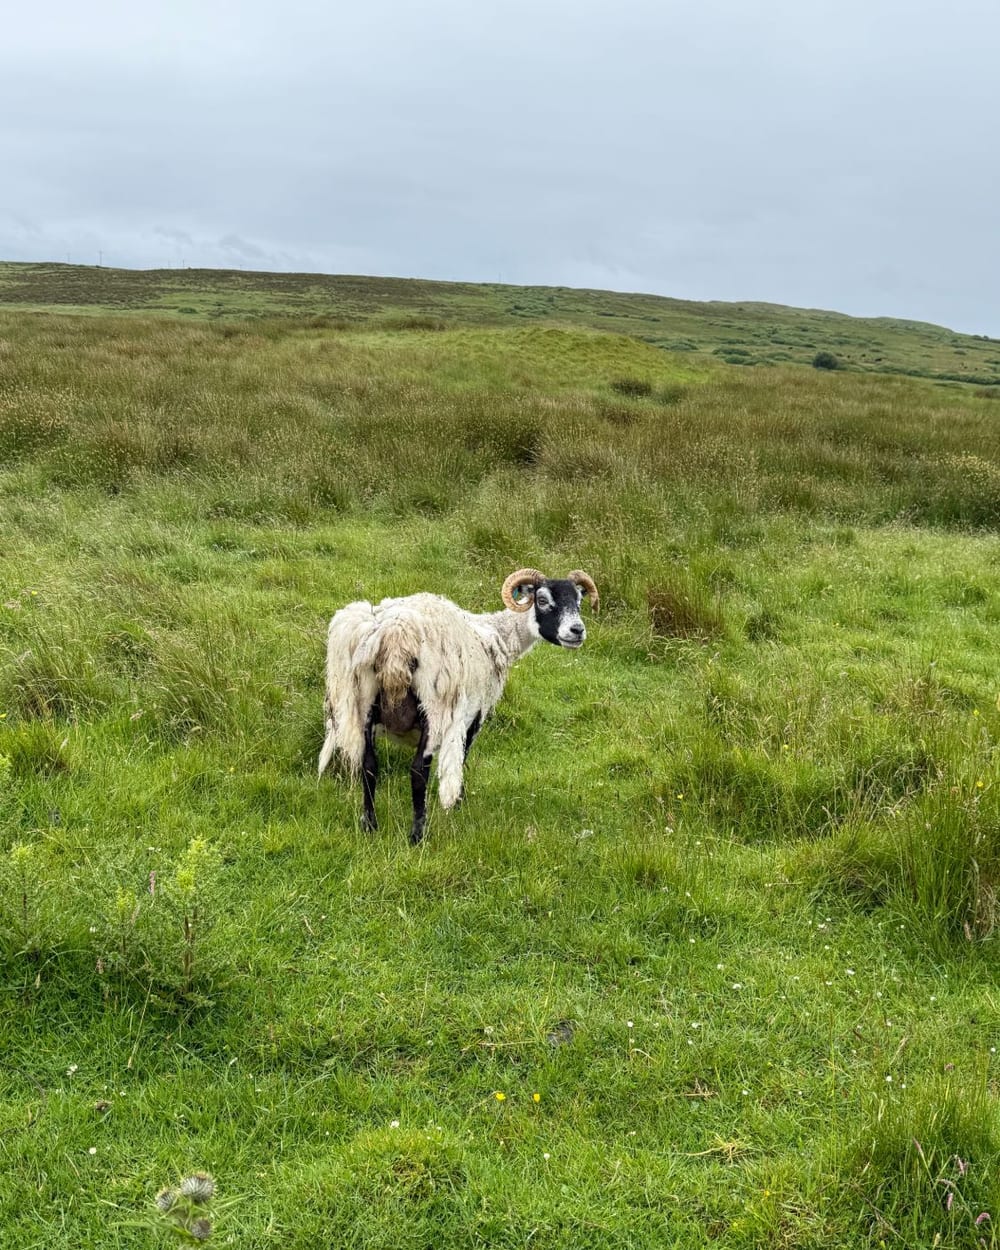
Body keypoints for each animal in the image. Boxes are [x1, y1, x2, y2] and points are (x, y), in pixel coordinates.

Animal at [318, 567, 600, 843]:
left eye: (579, 601)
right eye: (542, 600)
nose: (577, 631)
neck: (499, 633)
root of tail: (396, 633)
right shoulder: (475, 716)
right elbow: (463, 757)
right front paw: (459, 804)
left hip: (362, 702)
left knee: (369, 766)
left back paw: (370, 826)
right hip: (433, 707)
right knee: (418, 771)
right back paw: (418, 835)